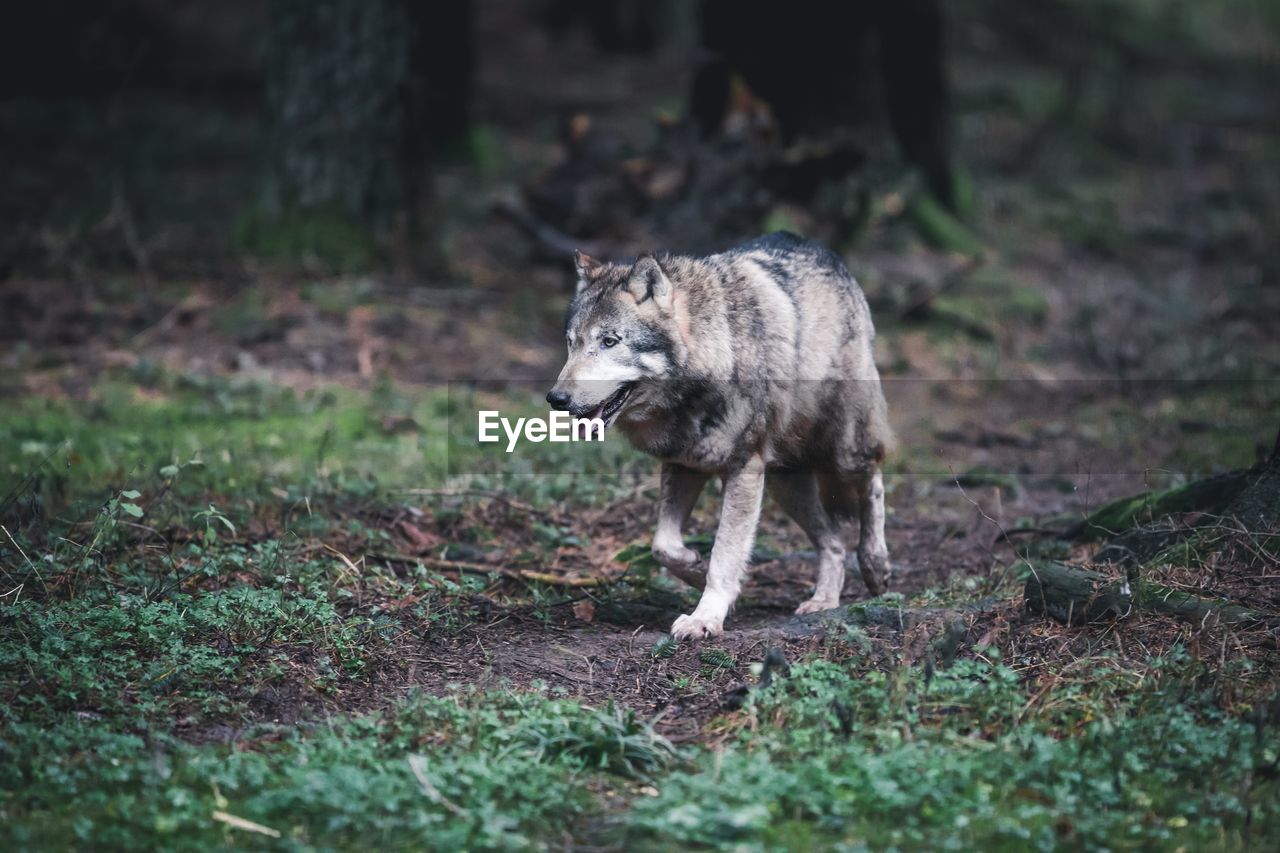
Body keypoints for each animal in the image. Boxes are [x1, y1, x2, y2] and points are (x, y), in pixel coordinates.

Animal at [545, 229, 896, 635]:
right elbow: (663, 546)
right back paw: (823, 601)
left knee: (873, 485)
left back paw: (876, 565)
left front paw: (705, 617)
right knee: (833, 542)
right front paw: (695, 569)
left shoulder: (743, 469)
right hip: (784, 485)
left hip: (844, 452)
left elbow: (726, 554)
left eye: (609, 341)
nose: (556, 398)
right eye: (571, 342)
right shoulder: (684, 464)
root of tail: (816, 246)